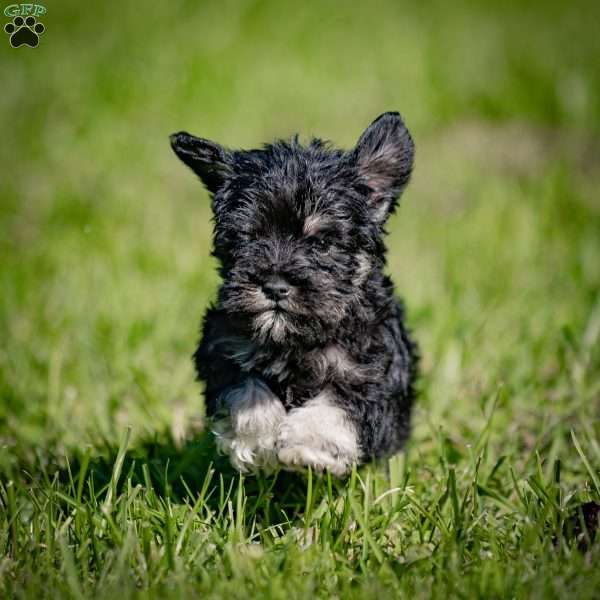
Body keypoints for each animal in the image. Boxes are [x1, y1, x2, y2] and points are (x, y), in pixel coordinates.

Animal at [170, 111, 418, 478]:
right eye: (248, 238)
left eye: (322, 242)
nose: (274, 286)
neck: (294, 340)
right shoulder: (223, 350)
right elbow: (247, 391)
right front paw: (259, 442)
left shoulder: (368, 373)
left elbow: (334, 404)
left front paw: (309, 445)